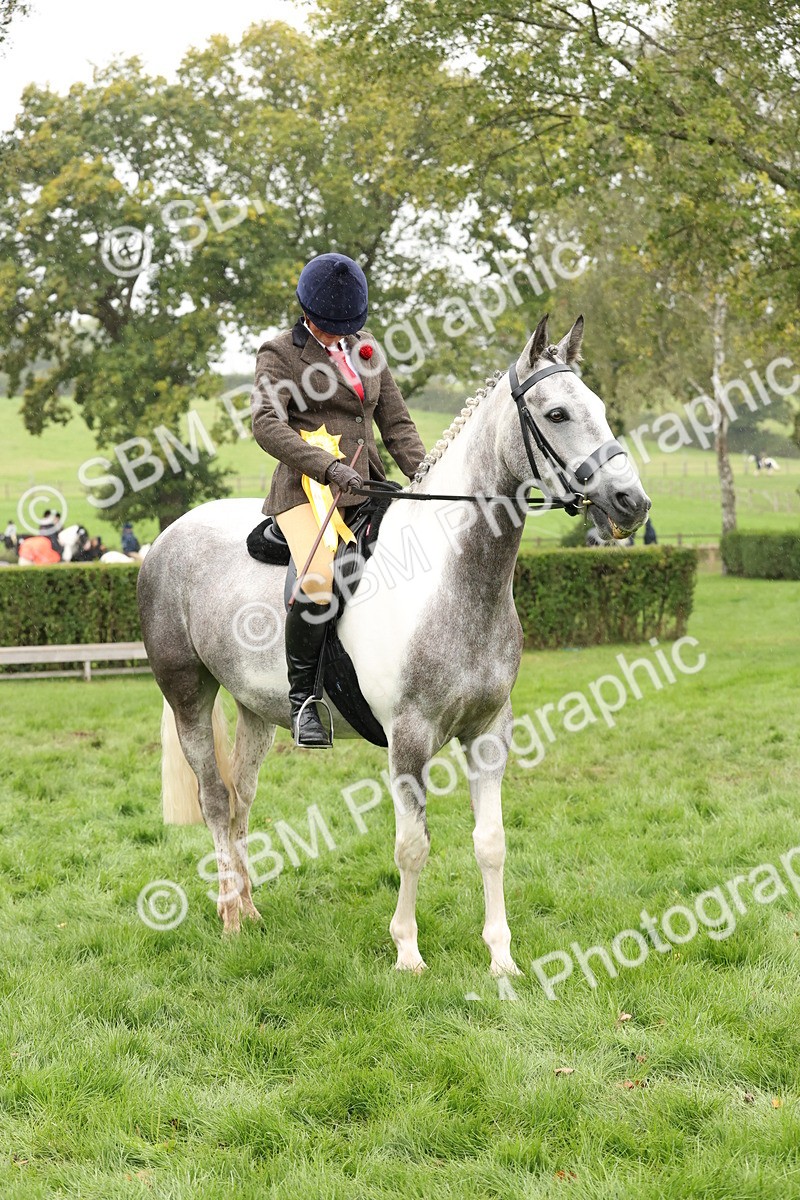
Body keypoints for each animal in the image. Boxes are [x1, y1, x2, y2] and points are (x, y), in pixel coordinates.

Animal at [137, 316, 651, 973]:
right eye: (557, 413)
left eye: (602, 408)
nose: (631, 504)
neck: (453, 581)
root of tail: (168, 536)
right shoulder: (408, 739)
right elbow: (412, 846)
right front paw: (407, 952)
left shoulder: (490, 733)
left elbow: (491, 843)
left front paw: (501, 959)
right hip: (189, 696)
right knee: (213, 799)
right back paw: (229, 918)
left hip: (256, 705)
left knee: (240, 796)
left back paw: (250, 911)